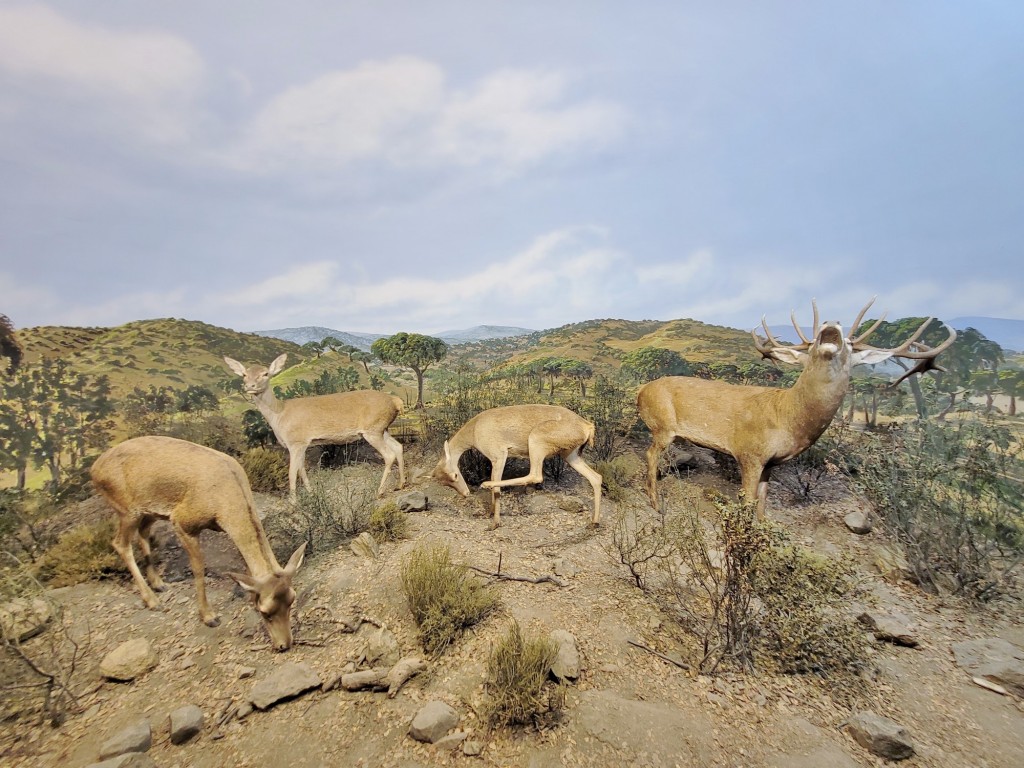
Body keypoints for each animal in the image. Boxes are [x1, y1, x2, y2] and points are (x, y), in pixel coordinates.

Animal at [90, 436, 305, 651]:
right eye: (264, 611)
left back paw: (159, 584)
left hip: (148, 510)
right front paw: (209, 617)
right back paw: (152, 600)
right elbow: (199, 568)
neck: (224, 502)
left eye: (292, 599)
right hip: (126, 510)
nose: (284, 644)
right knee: (120, 544)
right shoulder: (183, 523)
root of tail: (94, 469)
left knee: (143, 532)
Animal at [223, 354, 403, 499]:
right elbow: (302, 469)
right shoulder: (304, 444)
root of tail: (394, 401)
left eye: (265, 373)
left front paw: (293, 503)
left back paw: (379, 492)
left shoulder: (296, 442)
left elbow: (292, 472)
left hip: (372, 430)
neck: (279, 414)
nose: (250, 386)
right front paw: (311, 494)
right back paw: (400, 485)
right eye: (245, 374)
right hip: (382, 429)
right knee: (398, 447)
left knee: (389, 455)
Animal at [430, 405, 602, 528]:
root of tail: (587, 426)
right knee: (596, 478)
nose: (465, 493)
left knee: (535, 476)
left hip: (537, 443)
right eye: (445, 482)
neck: (475, 428)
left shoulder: (499, 457)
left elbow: (497, 489)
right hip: (571, 457)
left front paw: (495, 523)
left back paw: (486, 484)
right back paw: (594, 522)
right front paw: (489, 514)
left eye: (455, 475)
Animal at [634, 299, 954, 518]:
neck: (788, 417)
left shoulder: (772, 463)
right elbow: (747, 500)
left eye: (851, 345)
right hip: (663, 425)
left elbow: (763, 503)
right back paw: (655, 504)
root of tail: (641, 391)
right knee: (650, 455)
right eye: (810, 345)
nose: (830, 324)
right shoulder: (749, 453)